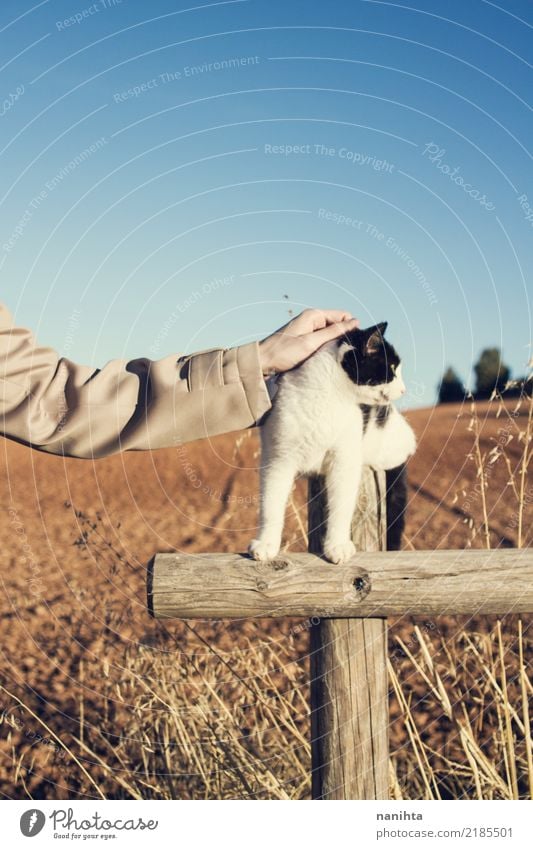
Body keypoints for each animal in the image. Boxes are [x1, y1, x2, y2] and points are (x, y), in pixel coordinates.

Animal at [248, 322, 416, 564]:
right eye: (391, 369)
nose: (403, 389)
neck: (328, 399)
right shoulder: (277, 459)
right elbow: (271, 504)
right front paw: (266, 544)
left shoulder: (344, 461)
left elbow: (341, 507)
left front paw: (337, 546)